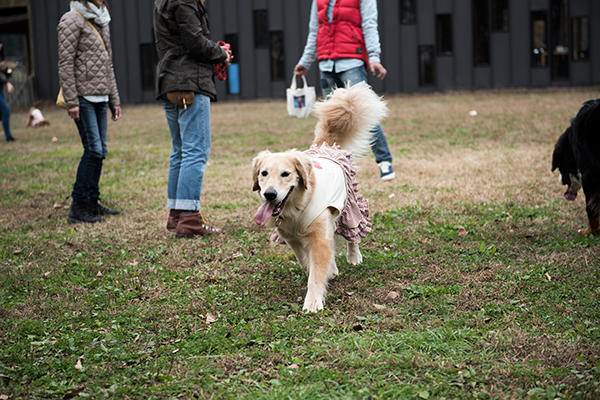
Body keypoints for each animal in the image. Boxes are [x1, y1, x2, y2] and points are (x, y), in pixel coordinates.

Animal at [250, 81, 386, 312]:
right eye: (264, 173)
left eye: (286, 174)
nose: (269, 194)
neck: (297, 207)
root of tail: (325, 147)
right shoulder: (291, 238)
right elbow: (307, 262)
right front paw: (326, 272)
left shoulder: (319, 236)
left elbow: (317, 270)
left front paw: (313, 301)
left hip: (350, 207)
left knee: (353, 234)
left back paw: (354, 256)